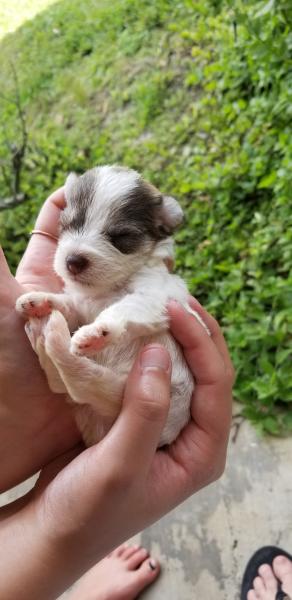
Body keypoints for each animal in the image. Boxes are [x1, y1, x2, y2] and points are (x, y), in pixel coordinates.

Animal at [16, 164, 208, 446]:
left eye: (120, 236)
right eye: (69, 225)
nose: (73, 260)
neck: (106, 290)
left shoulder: (152, 298)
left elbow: (120, 310)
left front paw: (96, 332)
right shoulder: (80, 307)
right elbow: (66, 305)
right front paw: (40, 301)